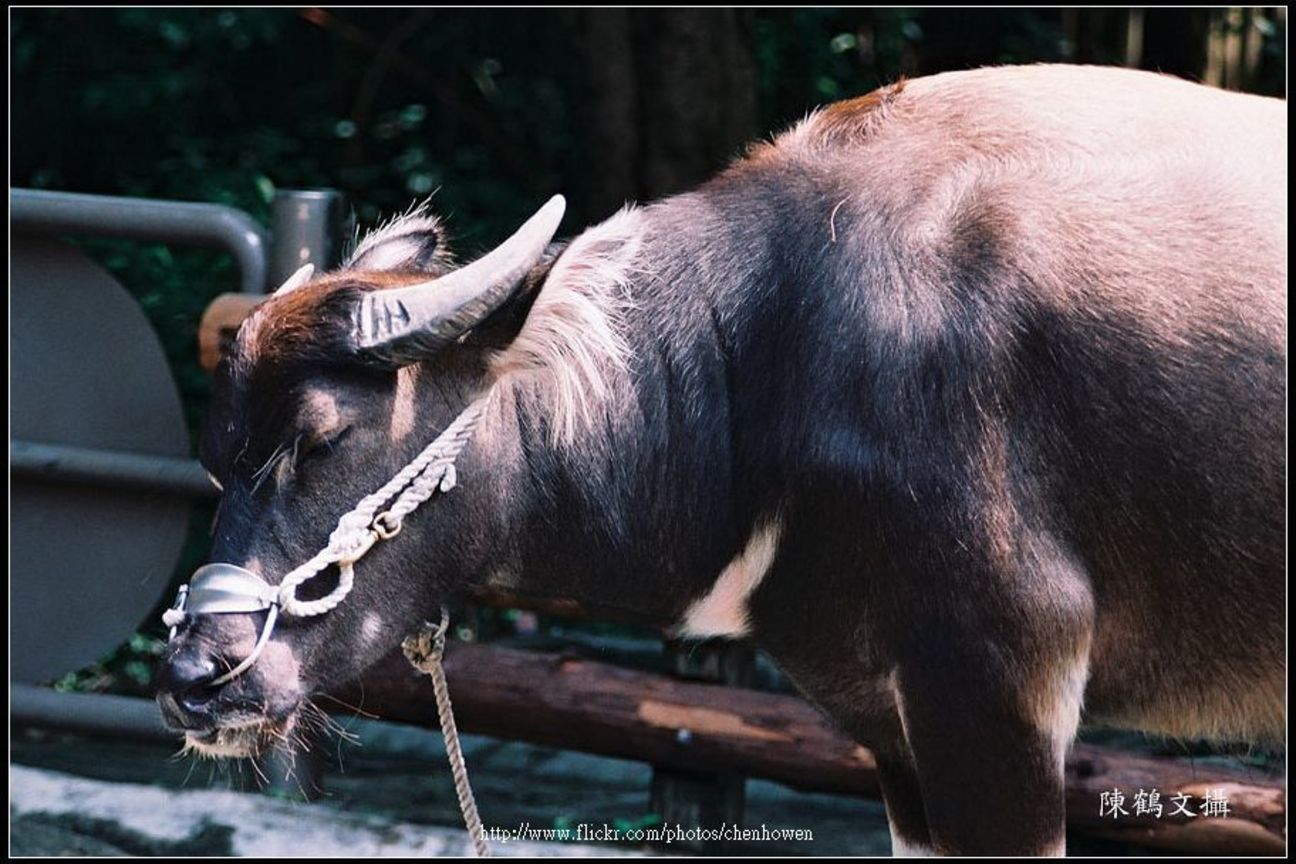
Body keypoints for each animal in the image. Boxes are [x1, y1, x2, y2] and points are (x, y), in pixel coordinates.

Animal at [156, 64, 1286, 856]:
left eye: (319, 438)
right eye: (213, 462)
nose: (193, 677)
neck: (771, 371)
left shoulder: (1002, 685)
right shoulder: (891, 725)